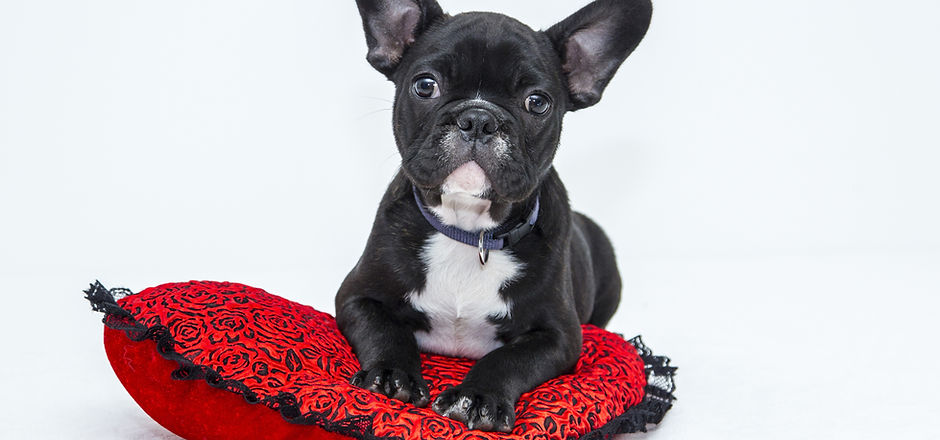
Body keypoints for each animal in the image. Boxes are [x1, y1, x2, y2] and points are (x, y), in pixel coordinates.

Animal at [338, 0, 652, 434]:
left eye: (537, 102)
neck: (469, 229)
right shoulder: (356, 296)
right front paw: (392, 374)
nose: (479, 119)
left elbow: (509, 359)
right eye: (425, 85)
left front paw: (478, 396)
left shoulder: (559, 336)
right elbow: (384, 331)